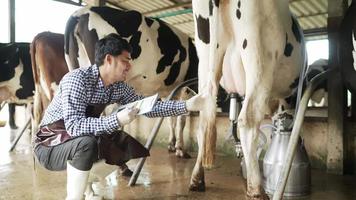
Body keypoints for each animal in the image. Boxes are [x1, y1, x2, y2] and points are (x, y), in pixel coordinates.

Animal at [192, 0, 306, 198]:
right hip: (259, 57)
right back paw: (256, 190)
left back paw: (197, 179)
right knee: (248, 120)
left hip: (205, 61)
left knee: (203, 123)